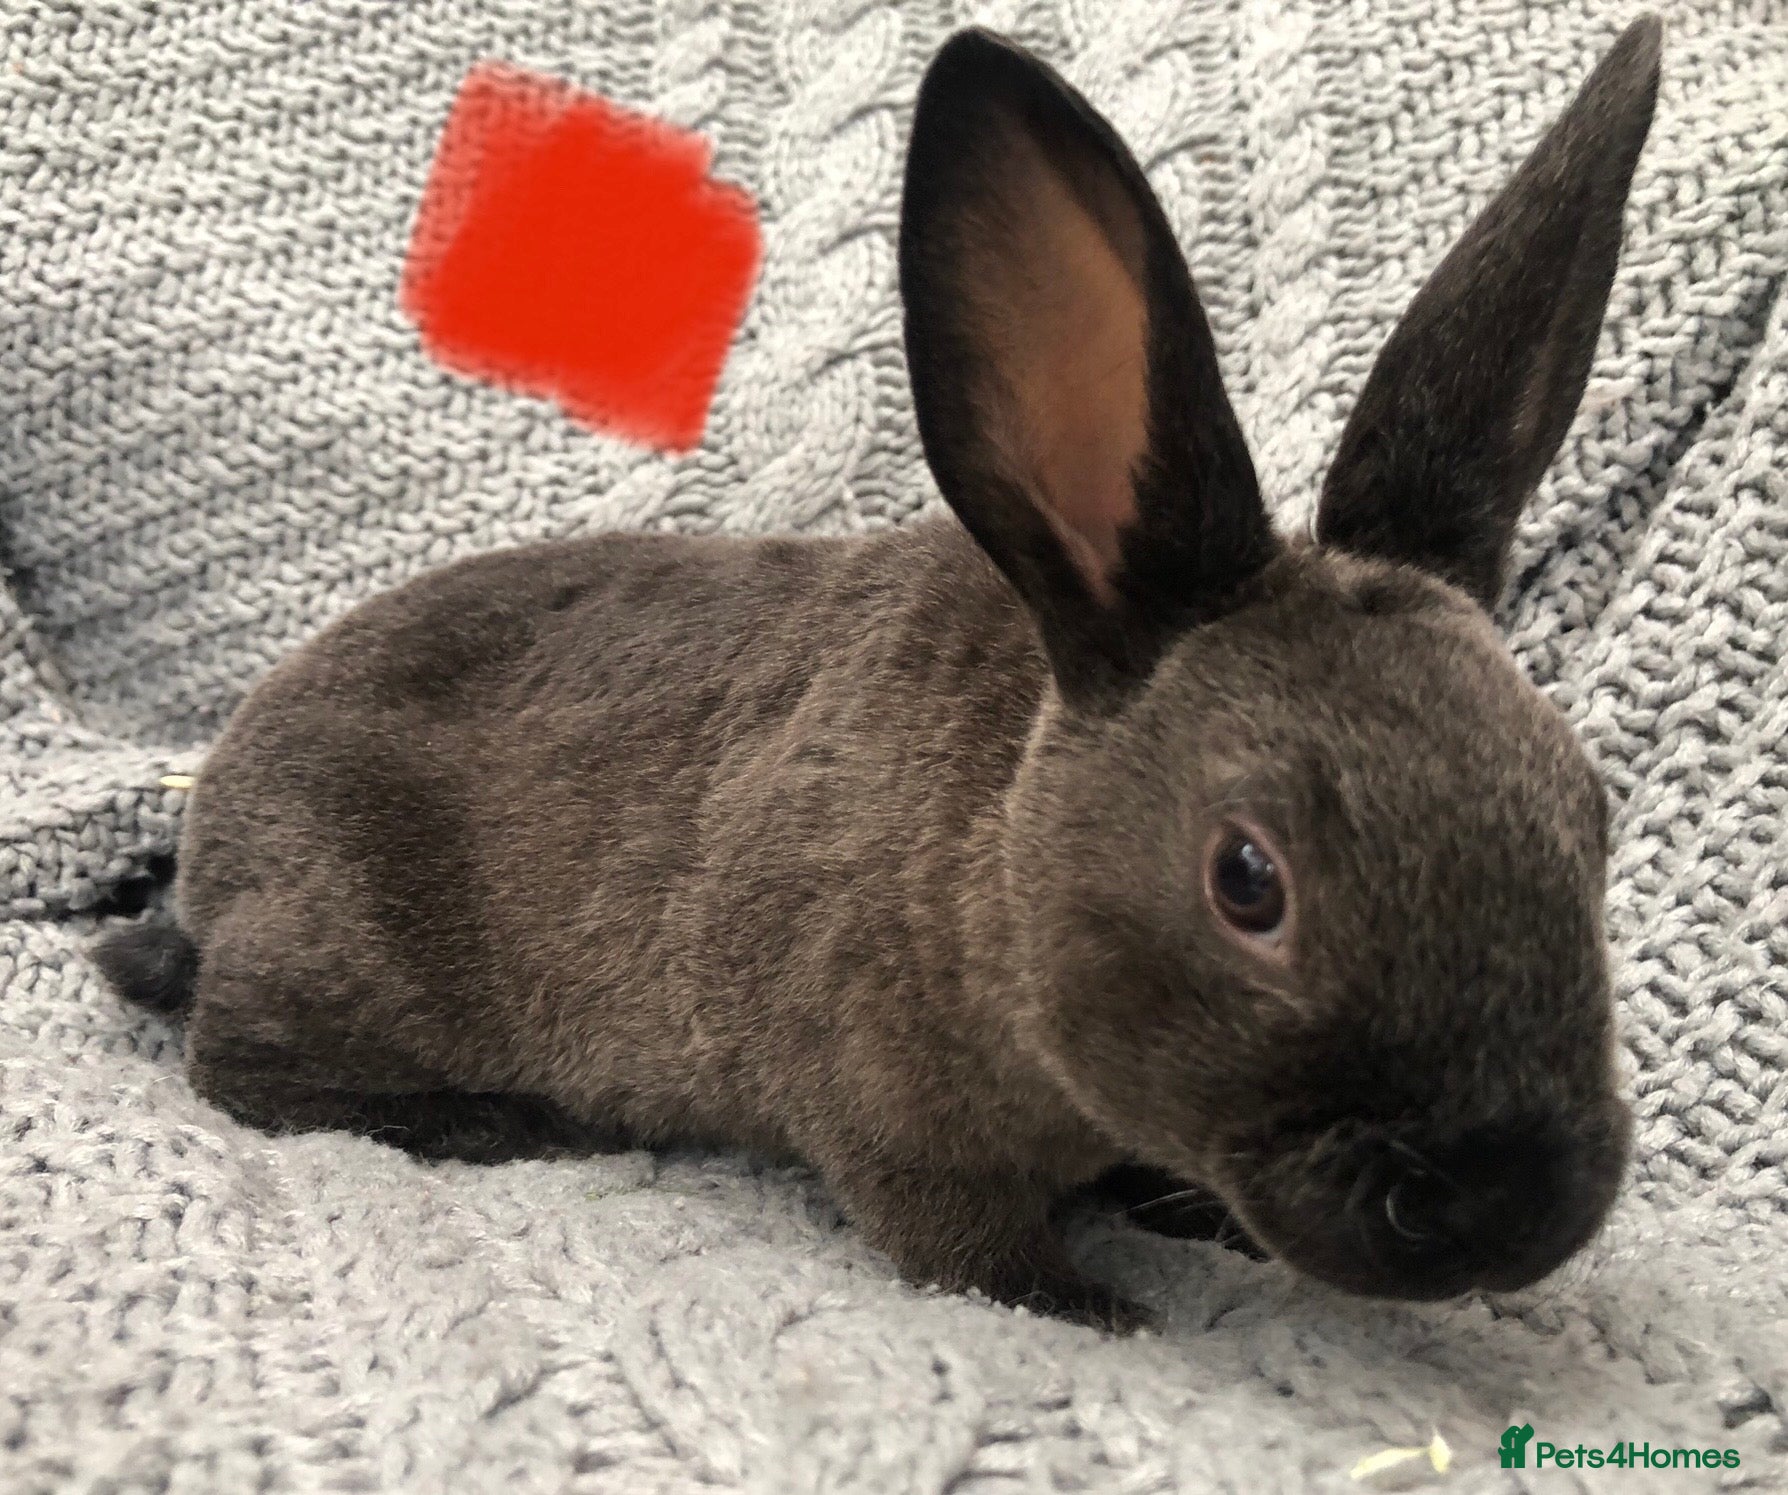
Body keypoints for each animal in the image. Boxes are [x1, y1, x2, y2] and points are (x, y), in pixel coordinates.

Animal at [95, 17, 1661, 1331]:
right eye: (1247, 880)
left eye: (1594, 820)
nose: (1520, 1211)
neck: (1007, 856)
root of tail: (213, 835)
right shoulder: (883, 1110)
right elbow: (959, 1241)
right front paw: (1097, 1309)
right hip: (342, 945)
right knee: (237, 1062)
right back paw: (492, 1121)